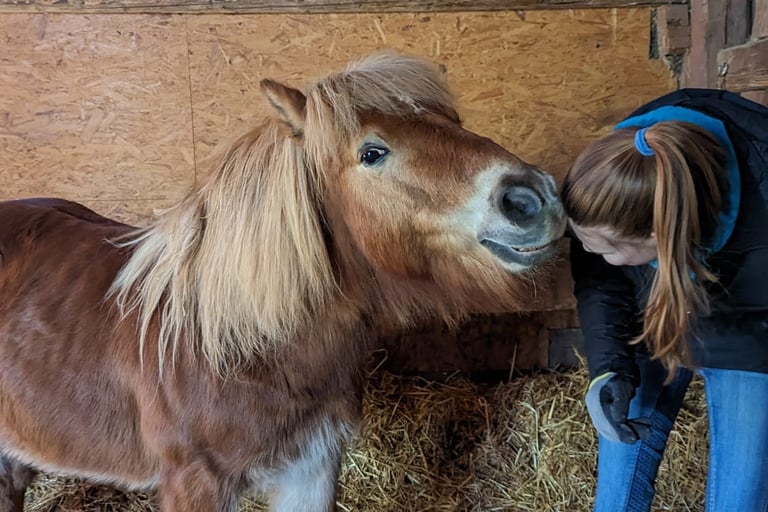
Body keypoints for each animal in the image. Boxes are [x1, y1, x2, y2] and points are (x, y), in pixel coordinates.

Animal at [0, 52, 565, 511]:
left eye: (454, 122)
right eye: (372, 152)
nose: (531, 198)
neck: (237, 347)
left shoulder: (312, 467)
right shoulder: (196, 484)